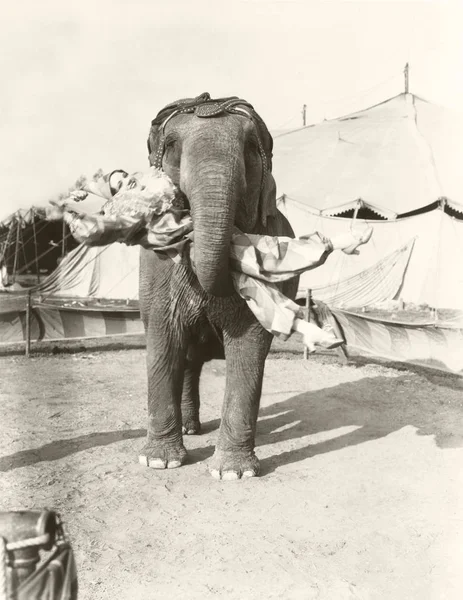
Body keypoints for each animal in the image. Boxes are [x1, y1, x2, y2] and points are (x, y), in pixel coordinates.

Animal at [138, 92, 300, 478]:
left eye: (251, 149)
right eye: (171, 146)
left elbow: (250, 343)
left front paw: (233, 473)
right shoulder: (155, 267)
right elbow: (163, 334)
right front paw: (159, 462)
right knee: (185, 358)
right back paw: (187, 431)